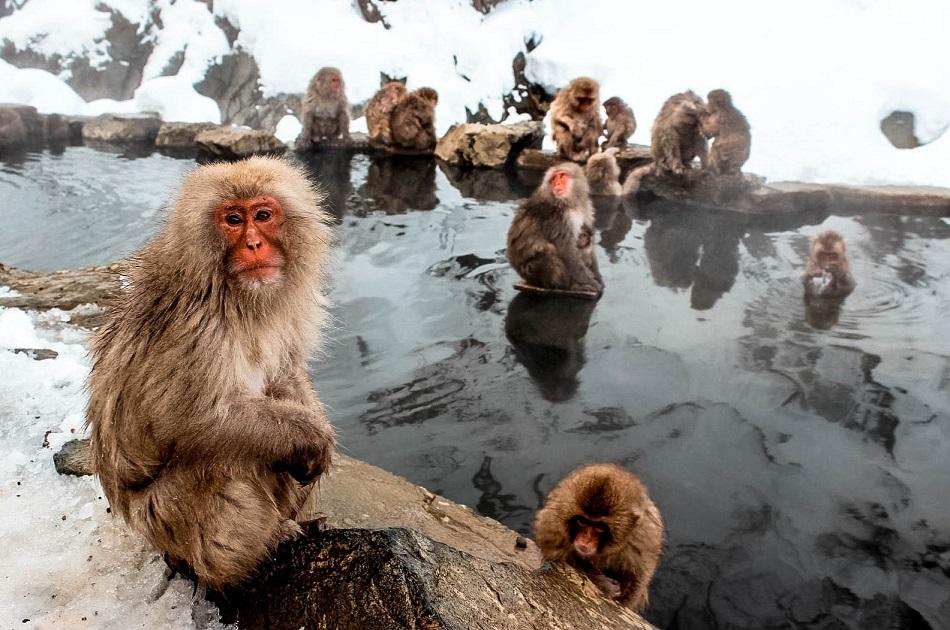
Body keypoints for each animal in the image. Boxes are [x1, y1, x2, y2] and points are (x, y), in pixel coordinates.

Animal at [87, 156, 336, 591]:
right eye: (233, 219)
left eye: (263, 215)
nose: (254, 244)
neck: (235, 296)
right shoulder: (197, 329)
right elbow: (195, 420)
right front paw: (312, 436)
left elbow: (285, 376)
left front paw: (313, 430)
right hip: (162, 519)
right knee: (222, 460)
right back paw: (249, 554)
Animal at [506, 163, 603, 296]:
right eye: (553, 179)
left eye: (562, 176)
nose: (557, 184)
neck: (569, 203)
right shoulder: (556, 217)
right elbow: (567, 252)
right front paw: (592, 282)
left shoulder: (586, 207)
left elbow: (588, 242)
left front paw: (598, 277)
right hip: (531, 273)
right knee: (547, 250)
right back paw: (567, 286)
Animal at [534, 463, 664, 613]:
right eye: (582, 521)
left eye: (600, 527)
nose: (586, 539)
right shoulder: (552, 525)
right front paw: (603, 583)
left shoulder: (645, 537)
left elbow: (638, 578)